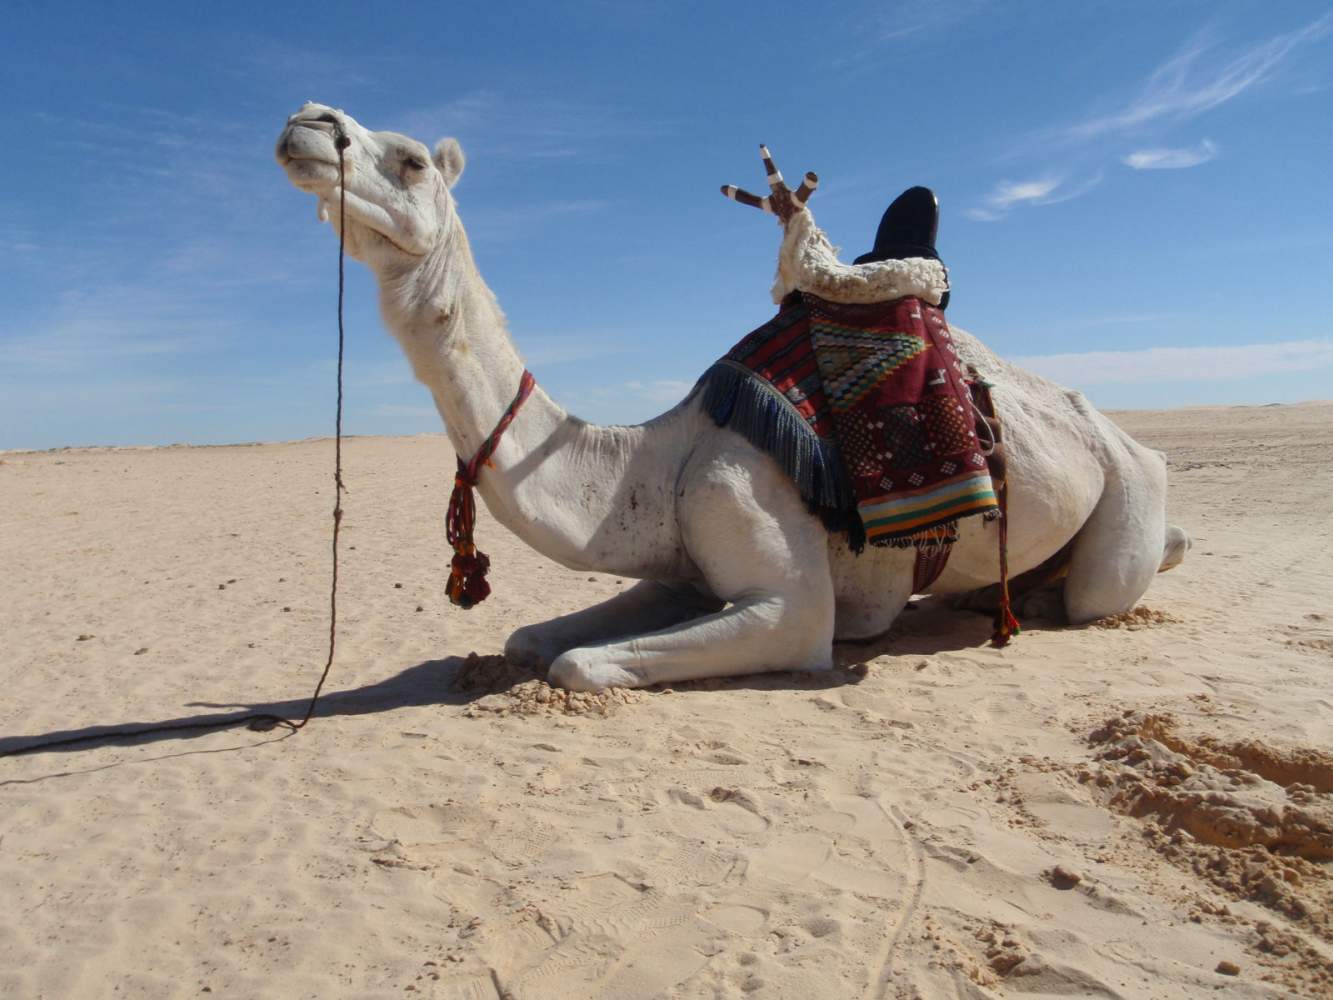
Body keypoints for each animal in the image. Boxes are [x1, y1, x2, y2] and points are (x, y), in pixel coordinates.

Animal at [275, 106, 1194, 693]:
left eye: (410, 160)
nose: (309, 120)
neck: (653, 459)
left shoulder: (786, 600)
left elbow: (579, 664)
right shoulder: (678, 568)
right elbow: (531, 638)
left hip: (1128, 488)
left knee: (1106, 585)